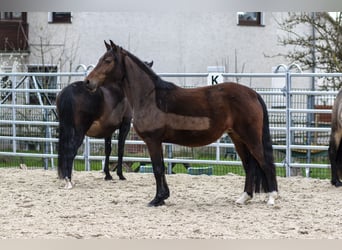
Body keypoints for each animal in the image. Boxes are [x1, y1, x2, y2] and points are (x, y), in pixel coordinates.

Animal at [85, 40, 278, 206]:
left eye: (108, 60)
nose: (88, 82)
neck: (150, 97)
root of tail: (252, 94)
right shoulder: (159, 142)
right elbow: (162, 168)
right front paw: (163, 197)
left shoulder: (152, 140)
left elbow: (157, 169)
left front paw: (157, 199)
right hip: (238, 138)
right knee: (249, 166)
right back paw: (244, 197)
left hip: (251, 138)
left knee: (264, 163)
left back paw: (272, 198)